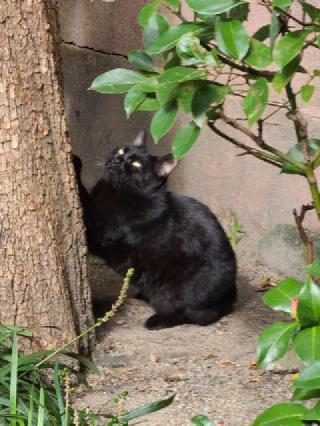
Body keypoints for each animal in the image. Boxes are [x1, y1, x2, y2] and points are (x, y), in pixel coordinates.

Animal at [74, 131, 235, 332]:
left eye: (136, 164)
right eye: (121, 151)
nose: (118, 160)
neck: (115, 191)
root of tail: (231, 297)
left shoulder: (100, 233)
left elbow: (83, 200)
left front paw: (74, 160)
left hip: (181, 292)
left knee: (192, 315)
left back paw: (156, 321)